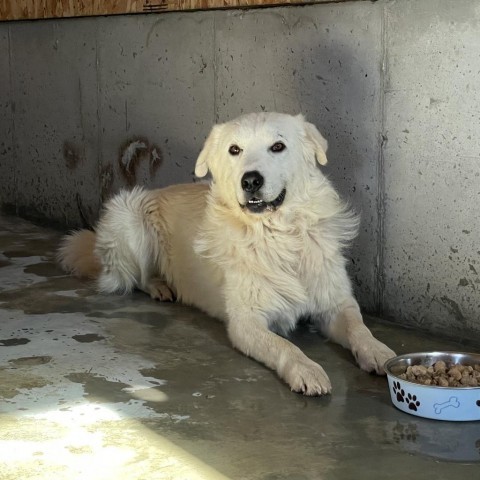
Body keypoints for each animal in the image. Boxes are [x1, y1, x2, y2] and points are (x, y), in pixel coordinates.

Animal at [59, 112, 394, 394]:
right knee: (133, 278)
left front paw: (379, 352)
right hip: (127, 214)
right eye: (235, 150)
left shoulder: (336, 302)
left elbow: (359, 327)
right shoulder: (246, 322)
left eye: (278, 146)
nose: (251, 180)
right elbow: (284, 346)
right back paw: (160, 286)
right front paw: (306, 369)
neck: (278, 235)